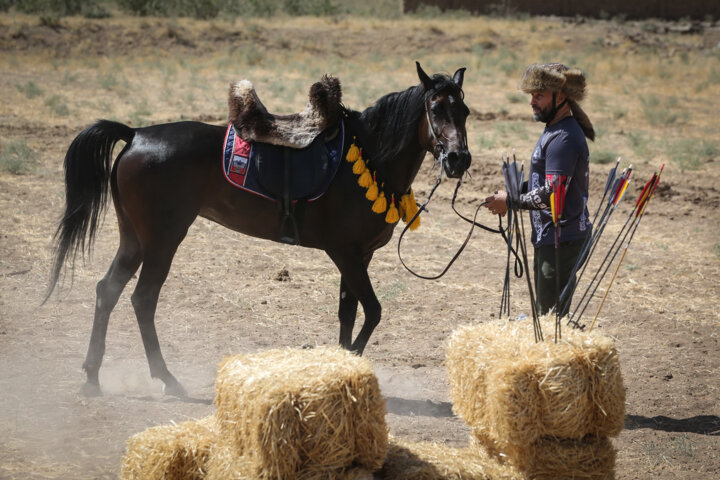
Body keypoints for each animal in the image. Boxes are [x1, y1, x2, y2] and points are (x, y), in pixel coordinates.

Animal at [45, 62, 472, 396]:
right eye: (436, 108)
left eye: (465, 111)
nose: (459, 159)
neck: (368, 157)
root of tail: (136, 134)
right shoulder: (347, 254)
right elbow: (373, 312)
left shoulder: (357, 257)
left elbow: (348, 313)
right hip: (163, 239)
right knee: (143, 299)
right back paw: (167, 379)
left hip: (133, 238)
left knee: (107, 290)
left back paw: (93, 377)